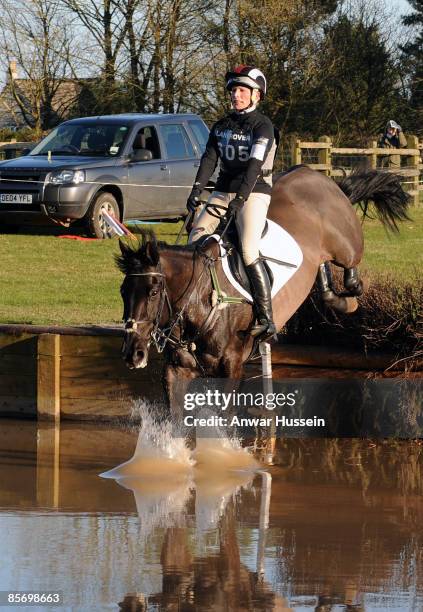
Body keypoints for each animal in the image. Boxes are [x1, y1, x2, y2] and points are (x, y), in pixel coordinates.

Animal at [117, 165, 410, 400]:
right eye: (122, 292)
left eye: (154, 291)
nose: (133, 354)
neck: (201, 298)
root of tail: (315, 174)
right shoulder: (178, 370)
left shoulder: (231, 367)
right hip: (319, 254)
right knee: (323, 273)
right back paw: (338, 298)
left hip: (346, 244)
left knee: (351, 267)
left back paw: (351, 296)